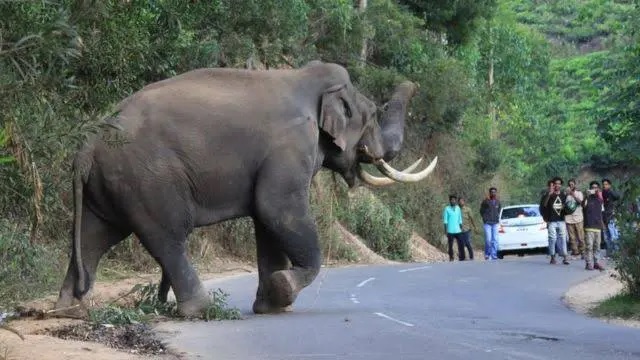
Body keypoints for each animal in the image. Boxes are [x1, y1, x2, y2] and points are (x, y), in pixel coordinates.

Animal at [55, 59, 438, 318]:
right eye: (372, 115)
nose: (414, 82)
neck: (305, 80)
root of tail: (86, 145)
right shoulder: (291, 146)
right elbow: (277, 209)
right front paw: (282, 289)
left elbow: (267, 222)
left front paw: (269, 305)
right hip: (147, 177)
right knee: (167, 236)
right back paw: (203, 310)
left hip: (110, 184)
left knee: (95, 236)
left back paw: (69, 308)